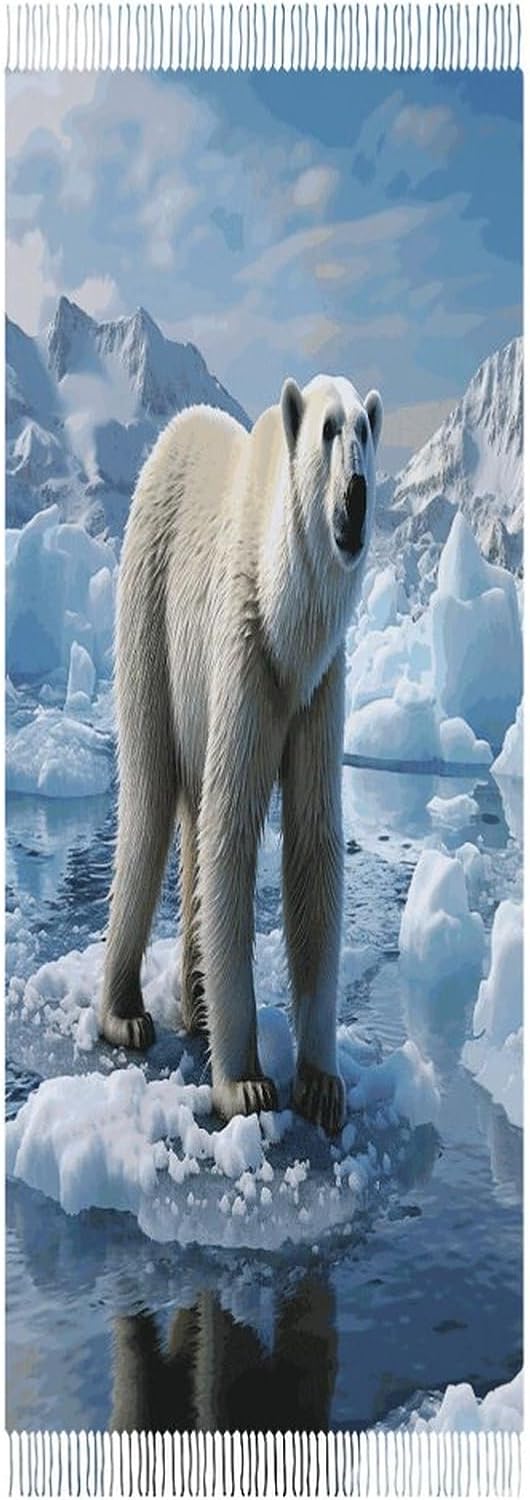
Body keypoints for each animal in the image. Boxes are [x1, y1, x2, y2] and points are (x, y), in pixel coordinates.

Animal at [99, 373, 383, 1134]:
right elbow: (234, 826)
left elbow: (313, 838)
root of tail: (176, 432)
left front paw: (322, 1084)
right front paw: (247, 1085)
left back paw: (194, 1006)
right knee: (149, 800)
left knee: (190, 815)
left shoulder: (321, 687)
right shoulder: (245, 647)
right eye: (327, 431)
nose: (356, 495)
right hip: (151, 608)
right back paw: (125, 1013)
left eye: (365, 430)